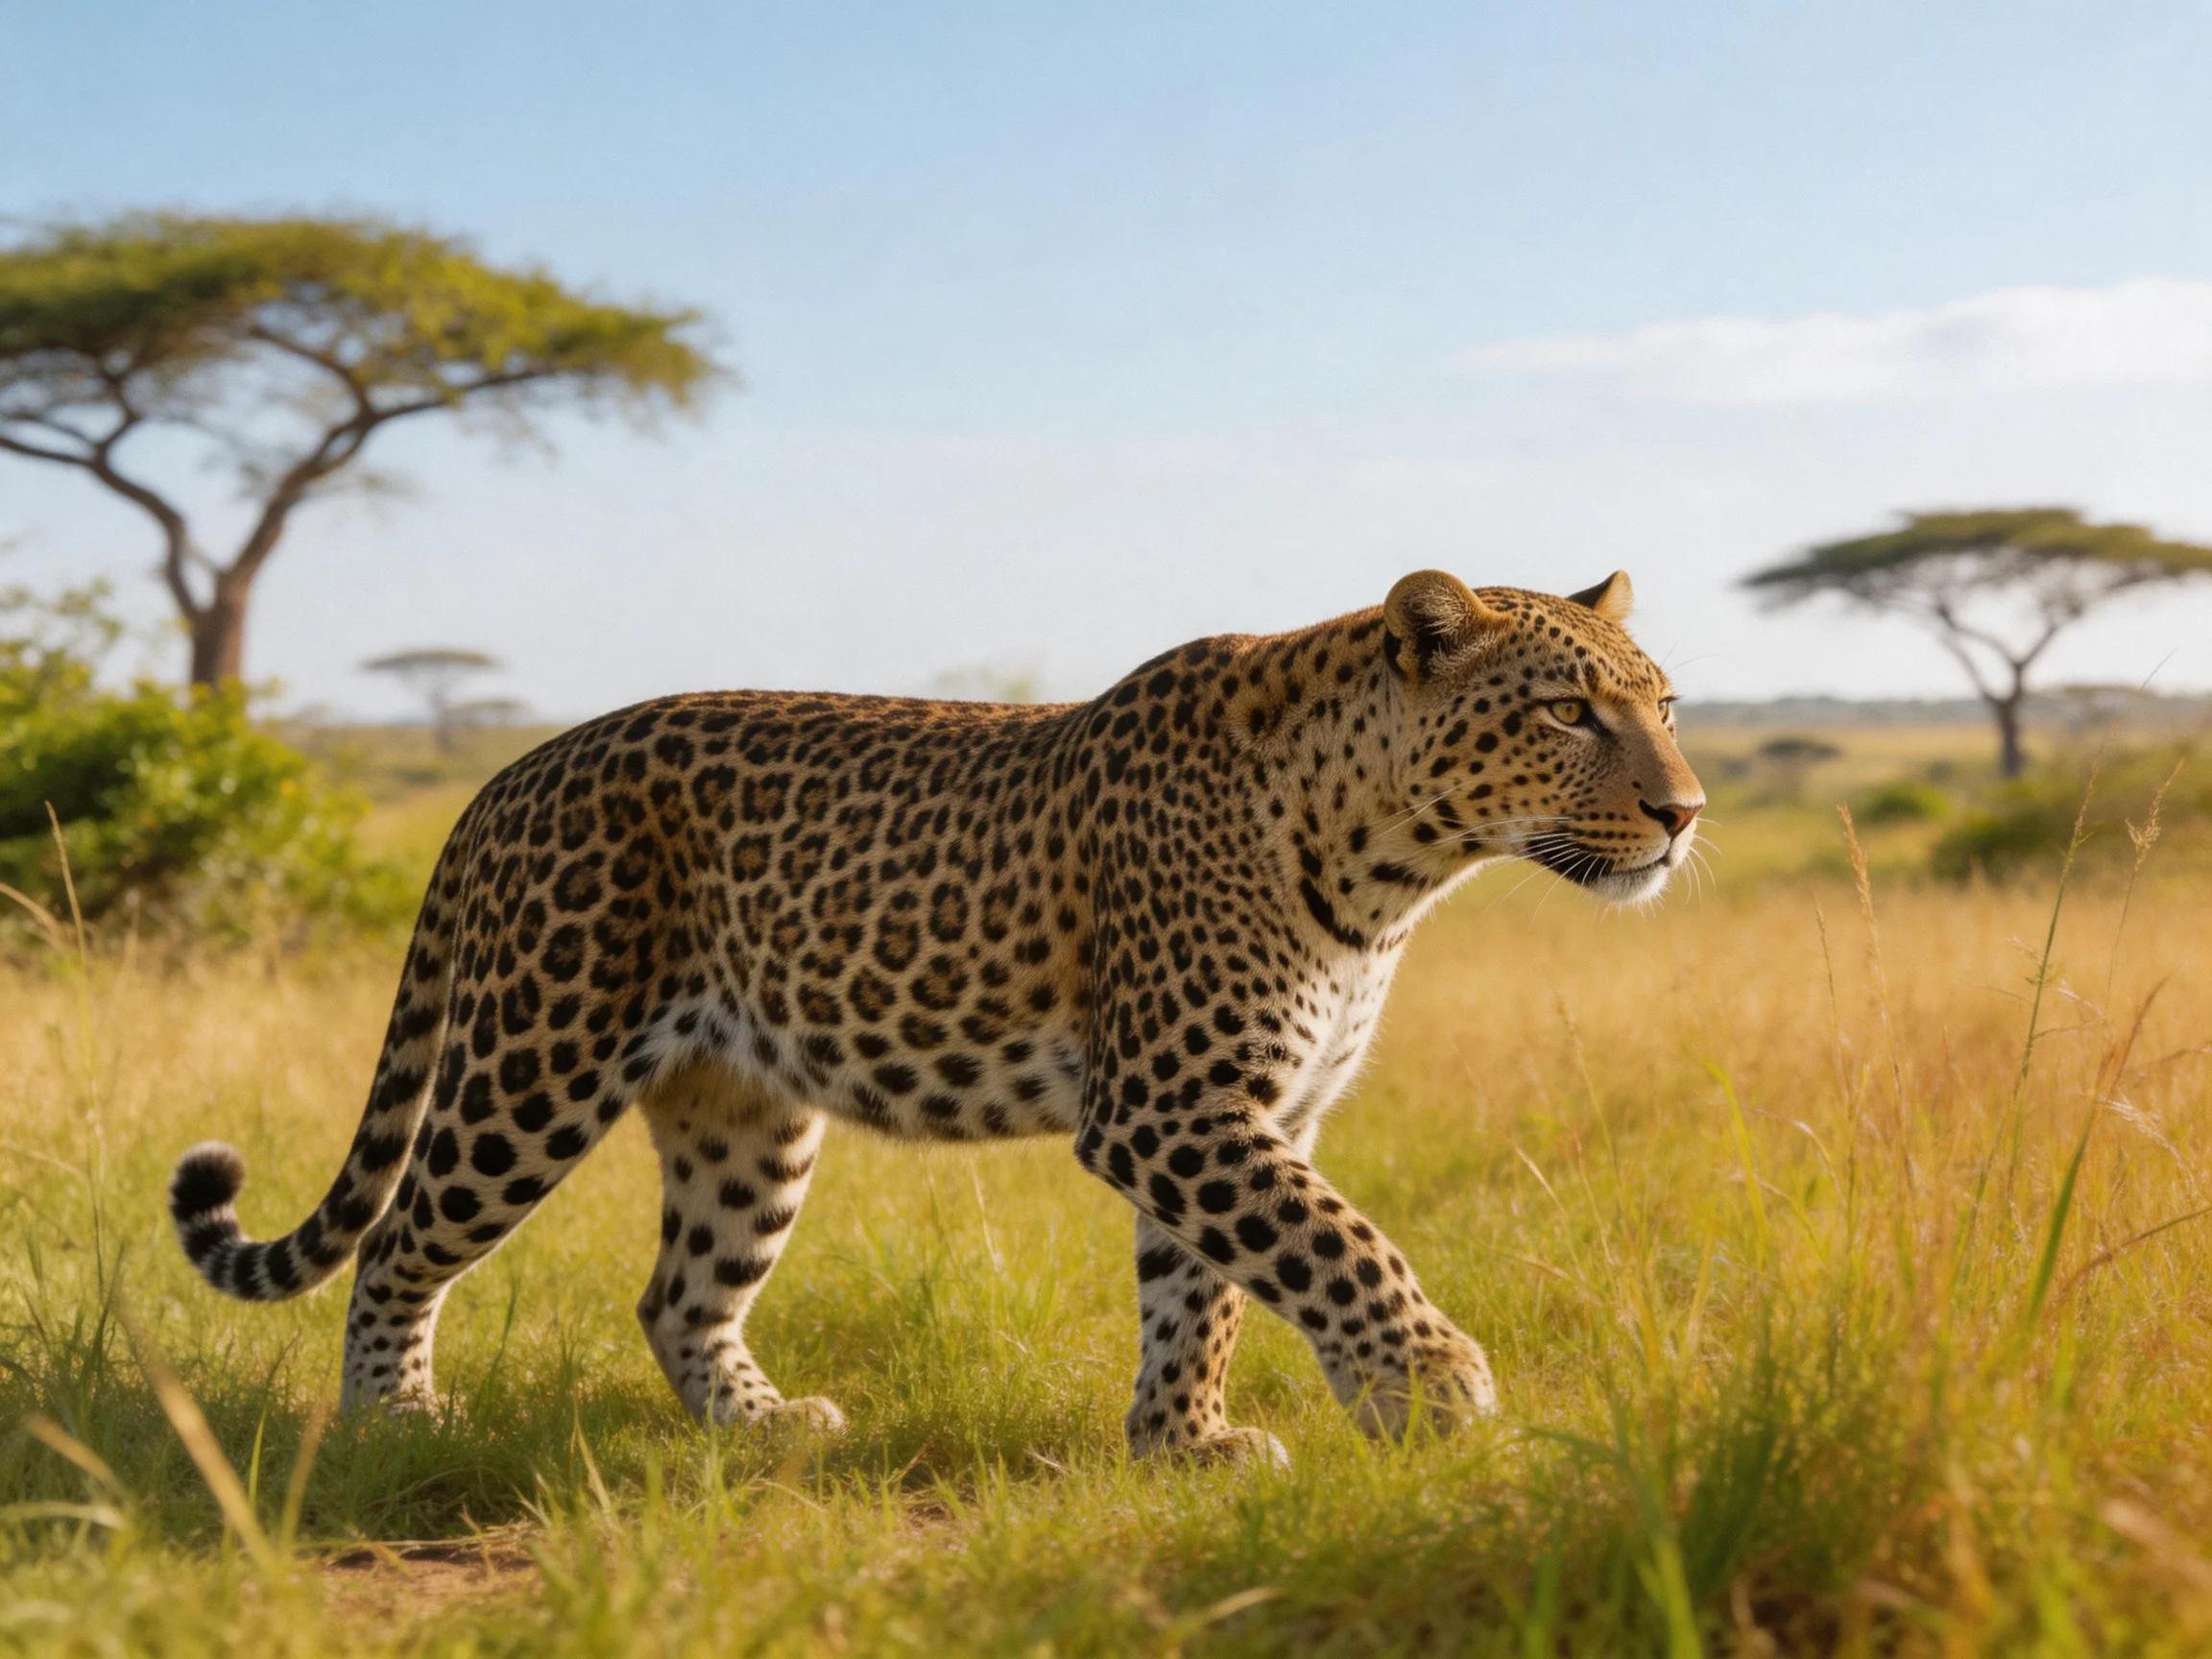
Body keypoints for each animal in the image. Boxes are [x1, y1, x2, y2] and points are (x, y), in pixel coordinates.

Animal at [168, 567, 1702, 1465]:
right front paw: (1433, 1388)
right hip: (531, 1066)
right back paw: (394, 1420)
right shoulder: (1174, 1108)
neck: (1392, 868)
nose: (1686, 813)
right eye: (1568, 711)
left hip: (745, 1111)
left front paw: (1182, 1444)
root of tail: (505, 774)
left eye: (1668, 703)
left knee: (679, 1293)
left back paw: (766, 1432)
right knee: (403, 1241)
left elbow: (1204, 1289)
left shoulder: (1242, 1116)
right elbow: (1336, 1246)